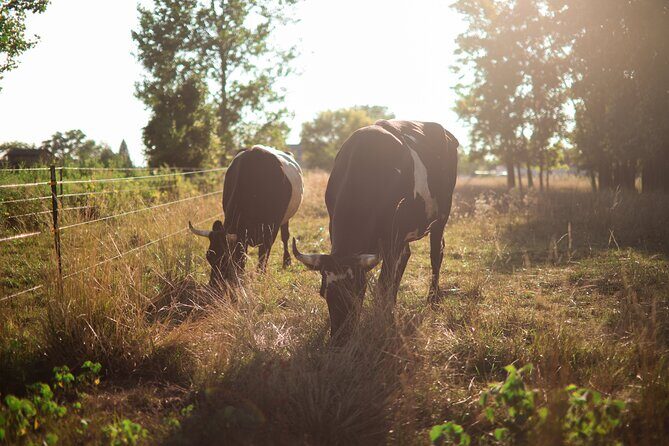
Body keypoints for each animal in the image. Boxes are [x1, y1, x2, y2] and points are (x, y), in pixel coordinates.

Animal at [189, 145, 303, 289]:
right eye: (209, 256)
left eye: (226, 259)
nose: (213, 286)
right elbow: (243, 256)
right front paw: (241, 278)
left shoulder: (271, 229)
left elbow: (263, 254)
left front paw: (260, 276)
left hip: (285, 219)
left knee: (285, 236)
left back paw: (286, 261)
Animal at [293, 120, 458, 340]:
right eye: (324, 293)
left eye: (357, 293)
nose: (339, 340)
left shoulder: (392, 237)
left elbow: (383, 284)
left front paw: (387, 321)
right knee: (405, 257)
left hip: (441, 218)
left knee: (435, 255)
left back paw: (432, 301)